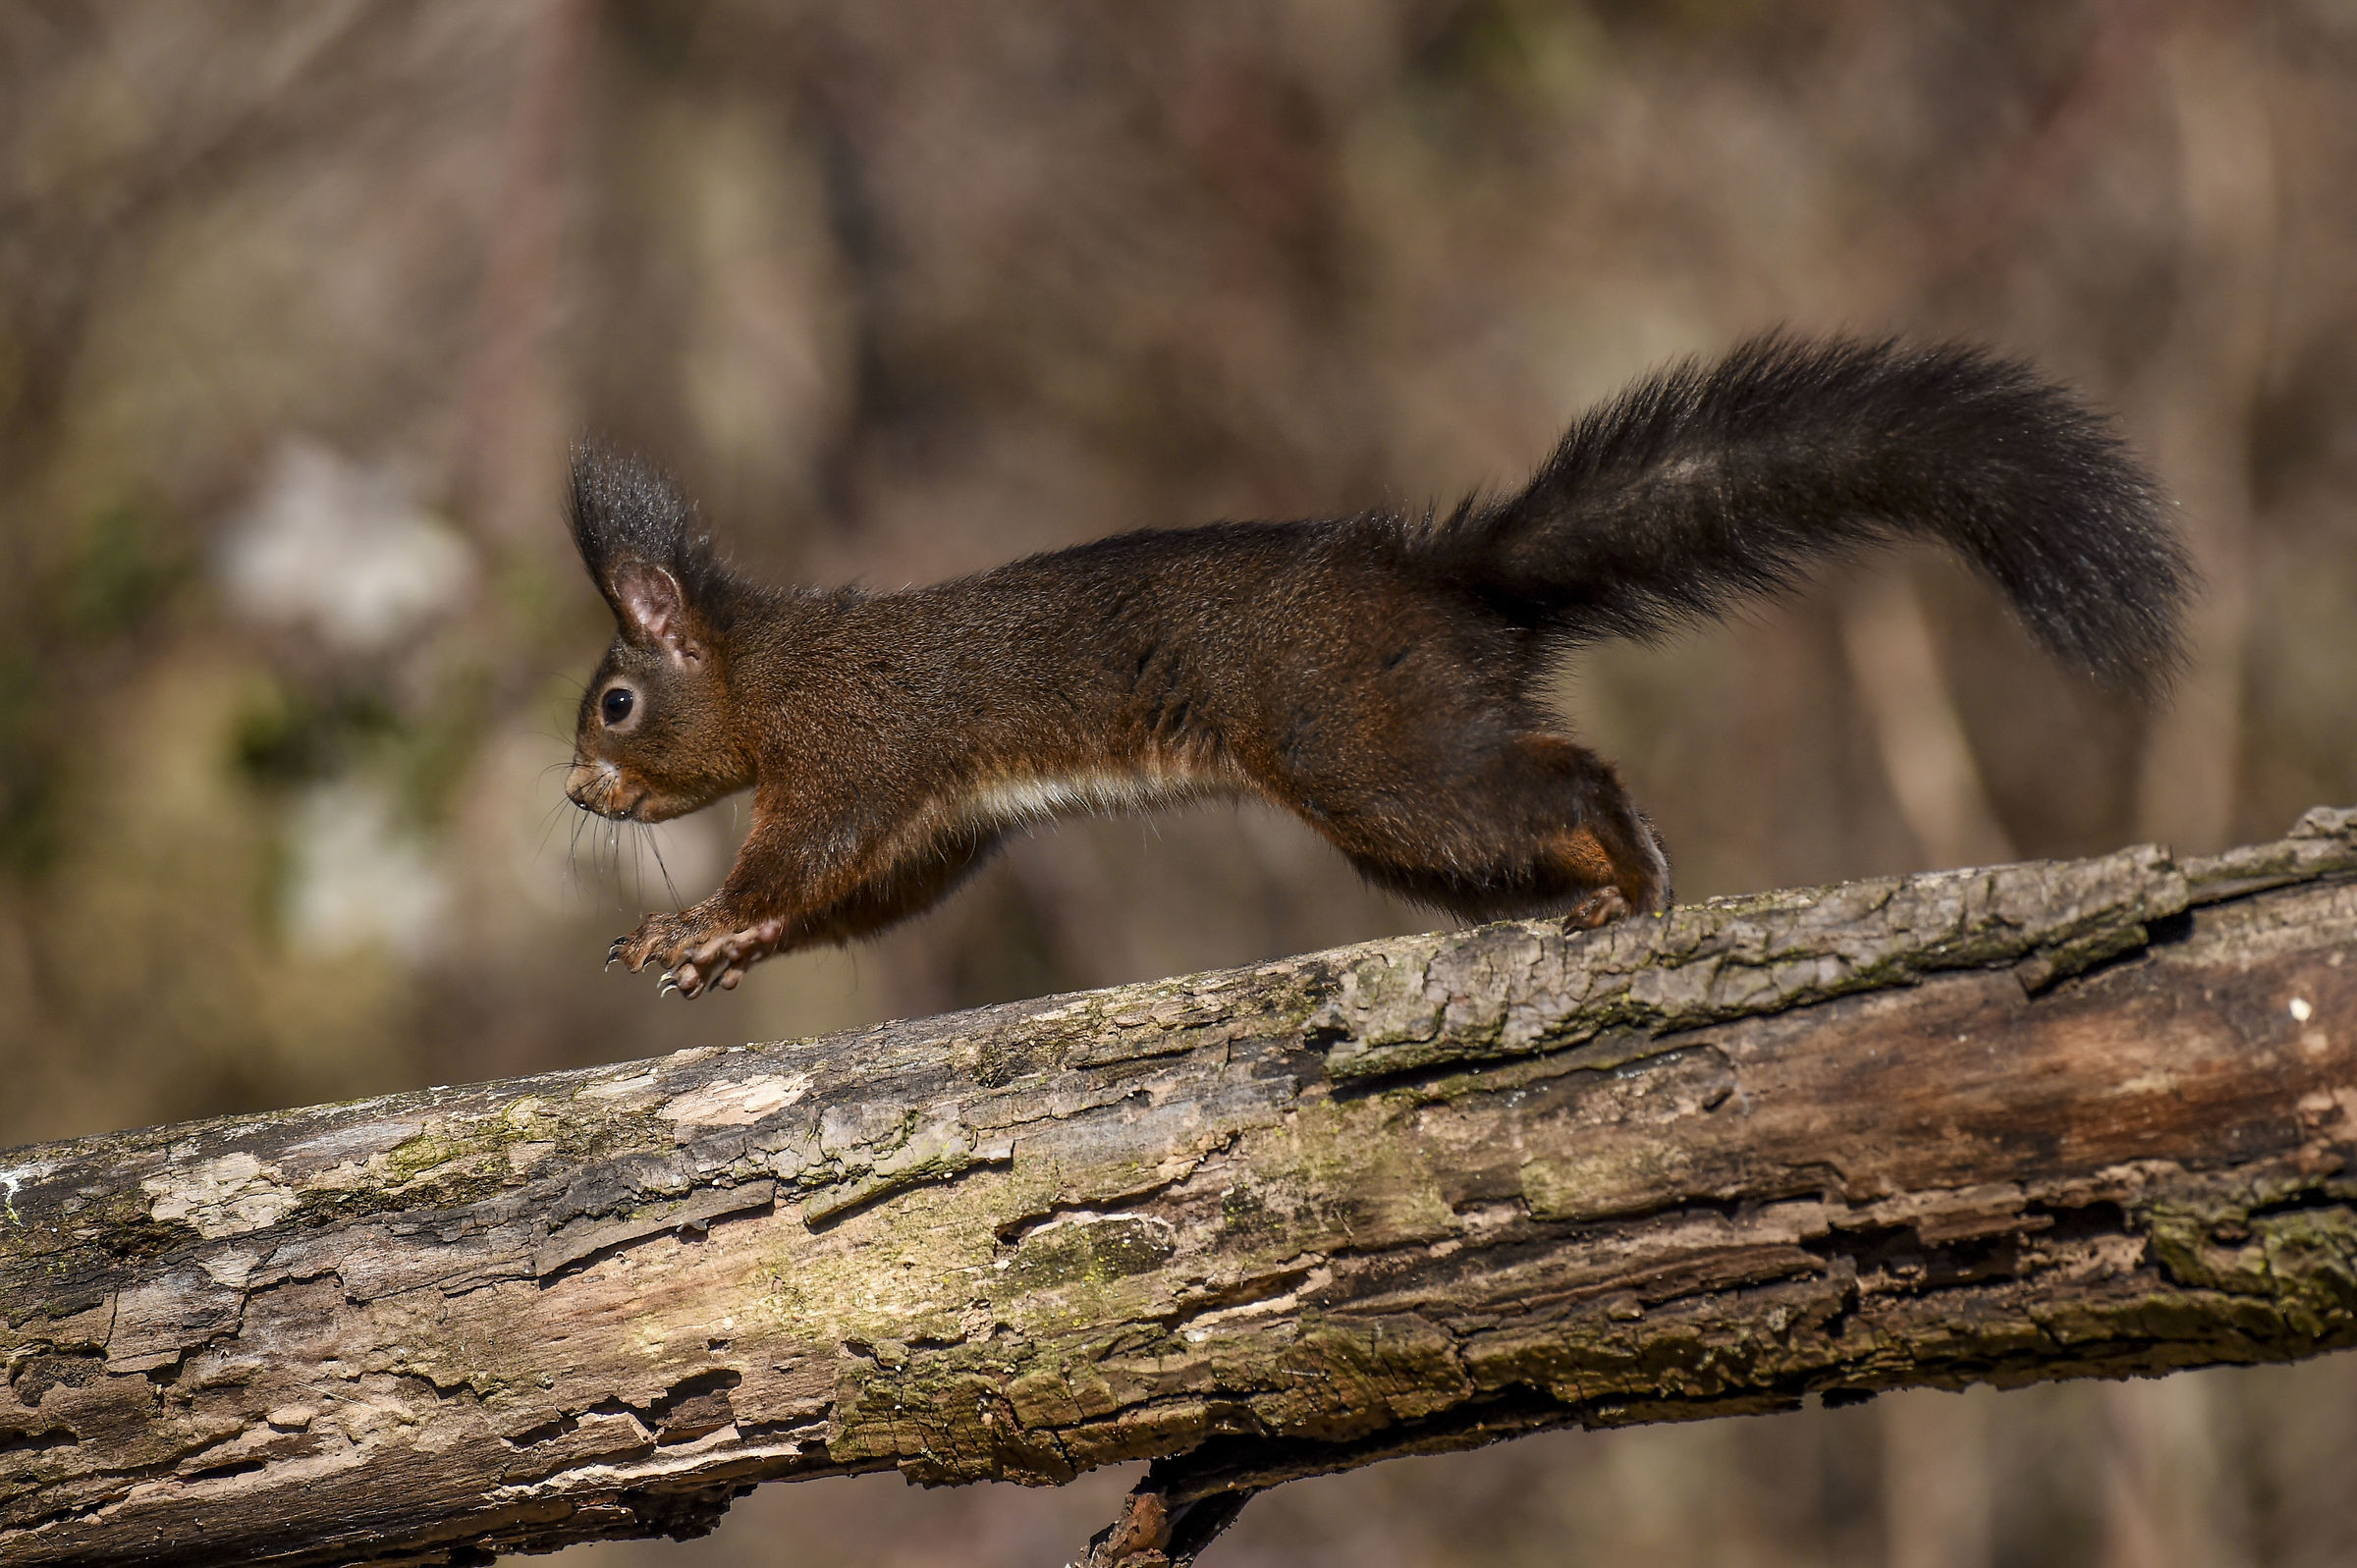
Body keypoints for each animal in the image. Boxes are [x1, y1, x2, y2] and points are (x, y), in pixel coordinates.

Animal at [565, 335, 2190, 998]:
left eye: (616, 702)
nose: (576, 790)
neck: (764, 665)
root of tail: (1447, 581)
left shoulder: (860, 741)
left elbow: (803, 852)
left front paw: (700, 919)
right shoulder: (940, 819)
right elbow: (864, 895)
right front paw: (722, 951)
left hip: (1368, 751)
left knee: (1557, 772)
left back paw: (1635, 867)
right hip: (1412, 798)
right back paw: (1607, 889)